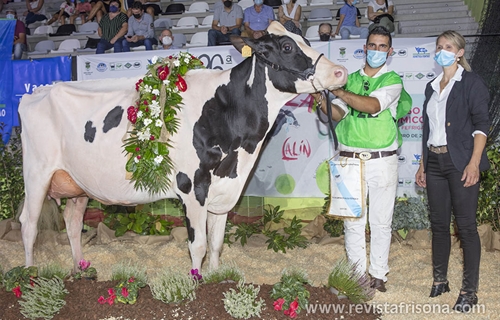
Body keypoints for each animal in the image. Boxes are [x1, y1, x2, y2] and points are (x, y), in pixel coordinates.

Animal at [19, 21, 348, 272]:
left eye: (306, 40)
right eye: (287, 47)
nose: (340, 72)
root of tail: (38, 92)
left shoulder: (225, 187)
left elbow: (216, 242)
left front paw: (216, 278)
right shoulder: (193, 185)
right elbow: (198, 244)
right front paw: (196, 281)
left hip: (78, 184)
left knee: (73, 223)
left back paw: (80, 268)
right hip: (37, 174)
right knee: (28, 223)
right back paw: (29, 274)